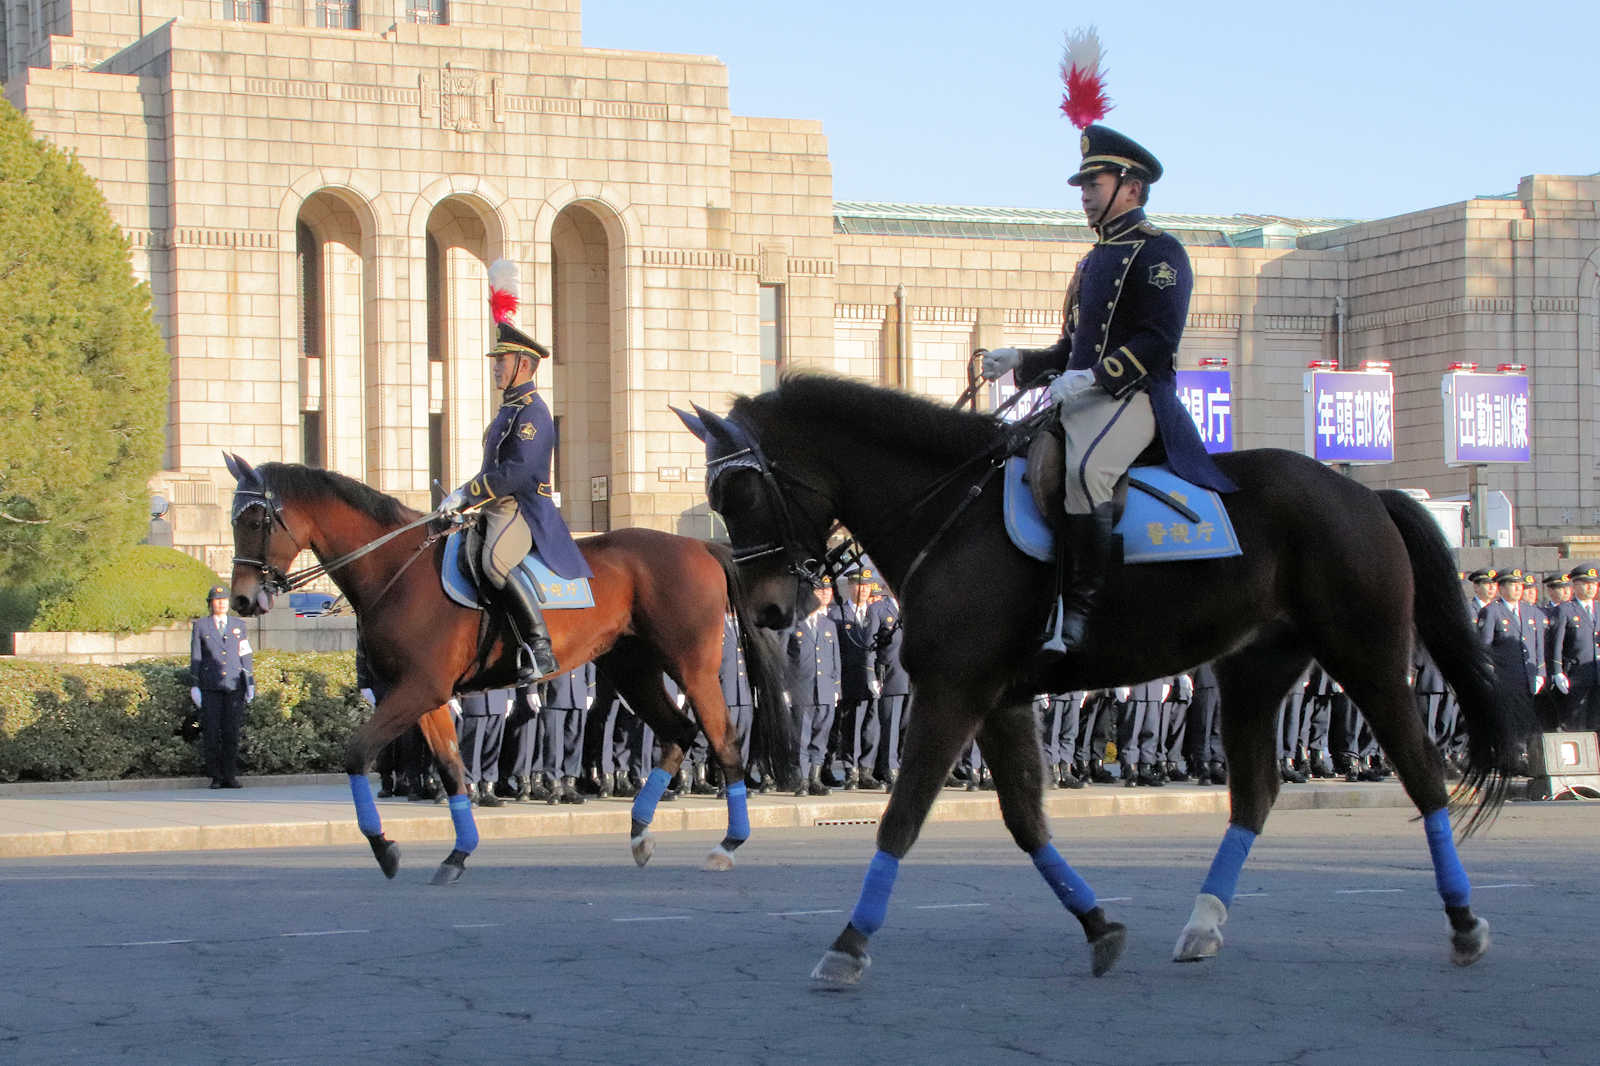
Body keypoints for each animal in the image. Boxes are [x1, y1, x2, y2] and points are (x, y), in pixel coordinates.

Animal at [220, 454, 796, 884]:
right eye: (234, 519)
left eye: (255, 520)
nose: (243, 600)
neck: (397, 568)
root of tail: (699, 544)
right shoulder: (424, 696)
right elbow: (452, 768)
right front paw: (457, 853)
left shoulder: (416, 689)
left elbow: (357, 752)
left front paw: (384, 847)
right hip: (633, 670)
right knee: (678, 733)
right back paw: (639, 830)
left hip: (693, 669)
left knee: (723, 741)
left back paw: (727, 844)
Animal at [675, 374, 1528, 986]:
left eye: (739, 491)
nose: (769, 608)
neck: (952, 513)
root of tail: (1363, 492)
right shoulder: (993, 699)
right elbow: (1025, 821)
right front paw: (1100, 926)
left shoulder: (955, 692)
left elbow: (903, 818)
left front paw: (850, 942)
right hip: (1256, 669)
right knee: (1255, 791)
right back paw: (1203, 923)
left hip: (1368, 655)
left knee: (1423, 775)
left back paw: (1464, 923)